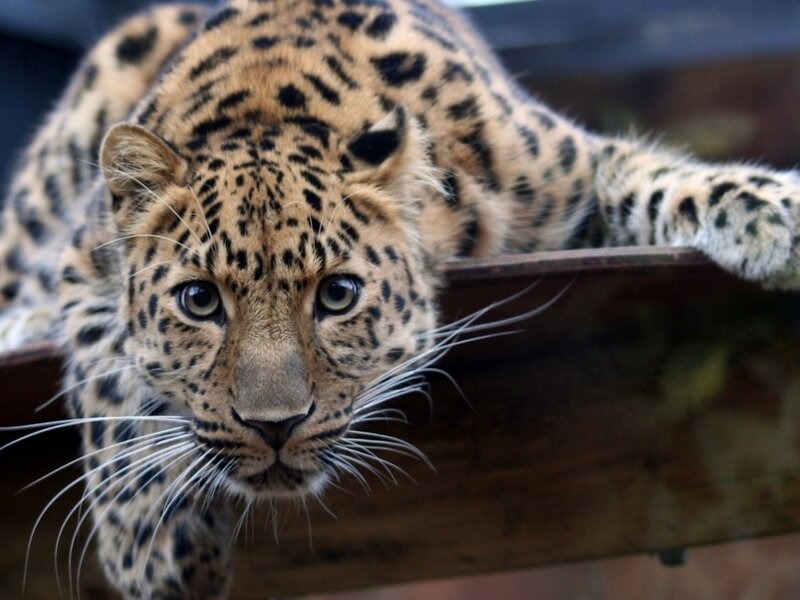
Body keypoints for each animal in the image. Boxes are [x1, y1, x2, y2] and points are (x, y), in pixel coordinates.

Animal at [1, 0, 799, 597]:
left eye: (338, 294)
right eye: (199, 301)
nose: (273, 427)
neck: (267, 101)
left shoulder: (568, 170)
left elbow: (658, 176)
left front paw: (774, 212)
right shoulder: (83, 261)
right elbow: (110, 381)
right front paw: (153, 547)